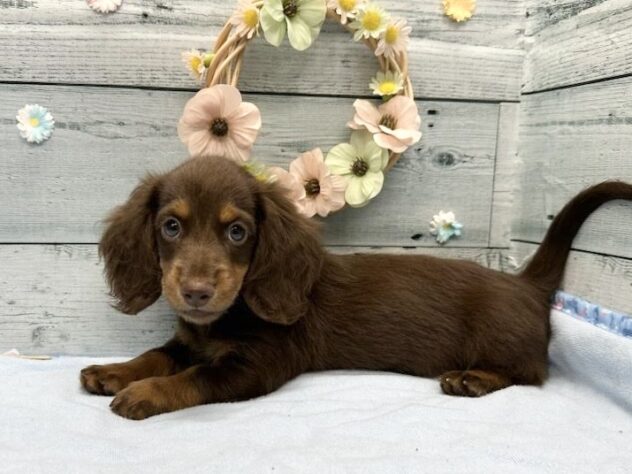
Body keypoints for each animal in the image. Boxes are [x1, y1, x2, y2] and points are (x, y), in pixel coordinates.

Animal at [80, 156, 632, 420]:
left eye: (237, 232)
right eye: (171, 226)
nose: (195, 293)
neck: (229, 314)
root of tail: (526, 286)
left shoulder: (258, 365)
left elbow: (192, 377)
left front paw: (143, 393)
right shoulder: (188, 340)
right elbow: (157, 354)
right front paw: (114, 371)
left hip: (504, 340)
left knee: (532, 372)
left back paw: (473, 379)